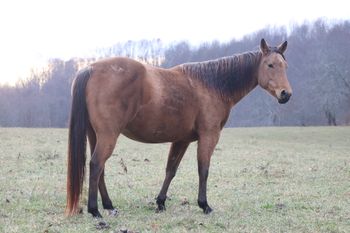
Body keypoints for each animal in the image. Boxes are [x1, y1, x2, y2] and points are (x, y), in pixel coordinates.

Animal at [65, 38, 292, 218]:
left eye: (285, 65)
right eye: (270, 65)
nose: (286, 94)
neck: (212, 85)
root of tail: (91, 68)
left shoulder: (181, 140)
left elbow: (171, 170)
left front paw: (160, 202)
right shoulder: (209, 136)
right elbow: (203, 169)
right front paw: (204, 205)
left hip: (95, 135)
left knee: (99, 168)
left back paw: (109, 205)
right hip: (108, 136)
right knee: (96, 165)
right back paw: (95, 210)